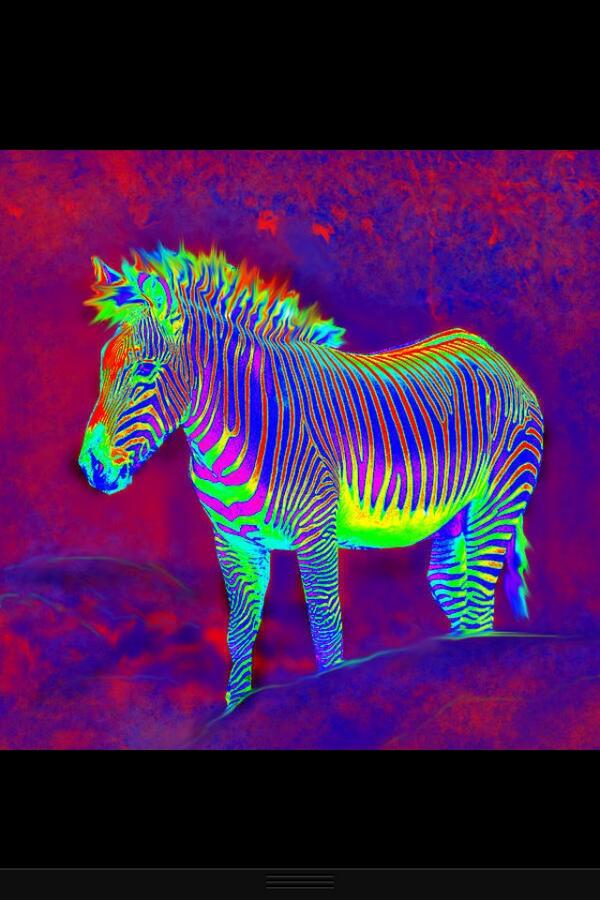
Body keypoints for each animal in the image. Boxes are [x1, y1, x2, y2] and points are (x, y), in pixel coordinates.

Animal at [79, 244, 544, 711]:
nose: (91, 466)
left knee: (479, 603)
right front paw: (235, 709)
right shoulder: (233, 542)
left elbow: (325, 632)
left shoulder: (316, 535)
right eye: (101, 369)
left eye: (145, 370)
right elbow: (239, 636)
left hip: (497, 499)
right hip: (452, 517)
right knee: (455, 594)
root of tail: (487, 348)